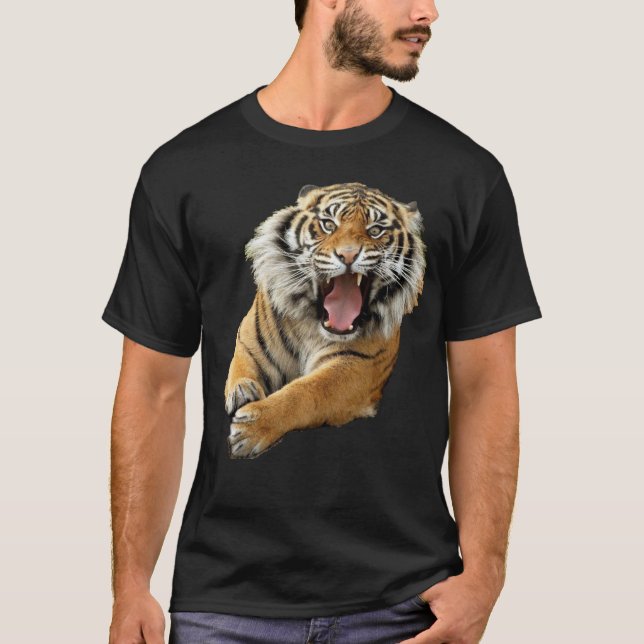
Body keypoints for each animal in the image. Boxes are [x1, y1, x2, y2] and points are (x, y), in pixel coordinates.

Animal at [224, 181, 427, 459]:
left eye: (375, 231)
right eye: (329, 225)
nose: (349, 256)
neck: (312, 325)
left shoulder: (358, 365)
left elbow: (306, 390)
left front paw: (252, 427)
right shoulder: (249, 340)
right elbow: (242, 363)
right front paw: (242, 391)